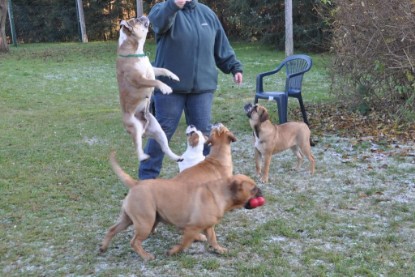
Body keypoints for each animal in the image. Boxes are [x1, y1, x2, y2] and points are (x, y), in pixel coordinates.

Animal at [100, 123, 250, 258]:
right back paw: (147, 256)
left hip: (129, 218)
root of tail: (136, 184)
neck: (217, 156)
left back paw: (103, 248)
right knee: (135, 241)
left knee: (112, 230)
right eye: (220, 128)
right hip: (145, 222)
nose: (216, 123)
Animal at [117, 16, 182, 162]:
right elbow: (155, 81)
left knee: (165, 148)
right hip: (134, 127)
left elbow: (163, 70)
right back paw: (144, 157)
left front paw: (174, 77)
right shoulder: (139, 79)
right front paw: (165, 88)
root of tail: (144, 130)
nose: (143, 16)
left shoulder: (152, 69)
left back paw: (178, 157)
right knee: (138, 150)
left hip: (158, 130)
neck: (136, 52)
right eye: (136, 20)